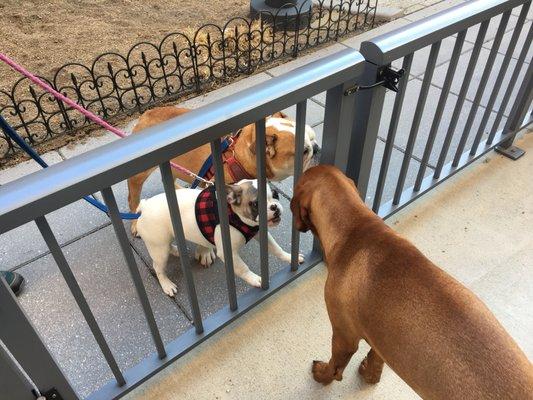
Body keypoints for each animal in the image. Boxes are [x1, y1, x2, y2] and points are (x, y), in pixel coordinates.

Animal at [128, 106, 320, 234]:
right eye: (304, 151)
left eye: (313, 137)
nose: (317, 148)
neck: (240, 154)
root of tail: (146, 114)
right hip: (139, 175)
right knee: (133, 198)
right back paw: (135, 223)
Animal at [135, 180, 302, 296]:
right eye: (256, 204)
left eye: (276, 195)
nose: (275, 207)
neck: (234, 214)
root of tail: (145, 206)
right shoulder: (229, 253)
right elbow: (242, 268)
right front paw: (255, 279)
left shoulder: (262, 234)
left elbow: (276, 248)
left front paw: (289, 257)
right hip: (159, 249)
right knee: (158, 267)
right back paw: (167, 284)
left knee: (168, 247)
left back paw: (176, 251)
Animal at [290, 165, 532, 400]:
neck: (356, 227)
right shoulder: (382, 335)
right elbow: (377, 357)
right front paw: (370, 375)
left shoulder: (344, 336)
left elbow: (335, 368)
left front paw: (322, 374)